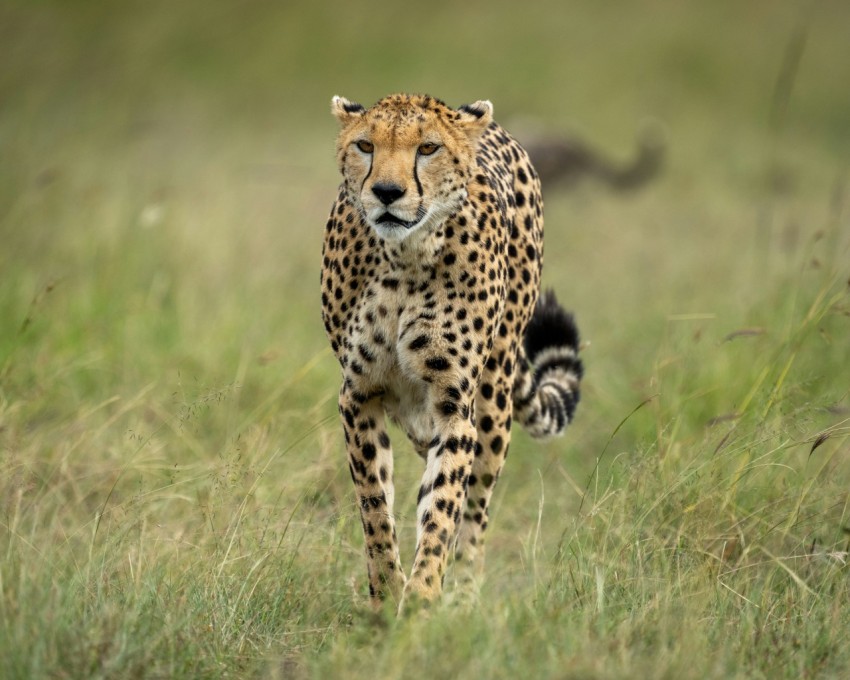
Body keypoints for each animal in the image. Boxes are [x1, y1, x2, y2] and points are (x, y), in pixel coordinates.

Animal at [320, 93, 584, 608]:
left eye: (428, 148)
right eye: (365, 145)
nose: (386, 191)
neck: (403, 257)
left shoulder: (454, 405)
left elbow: (443, 509)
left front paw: (422, 598)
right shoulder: (358, 395)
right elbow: (374, 505)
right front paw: (387, 596)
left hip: (494, 396)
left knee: (475, 506)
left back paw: (463, 595)